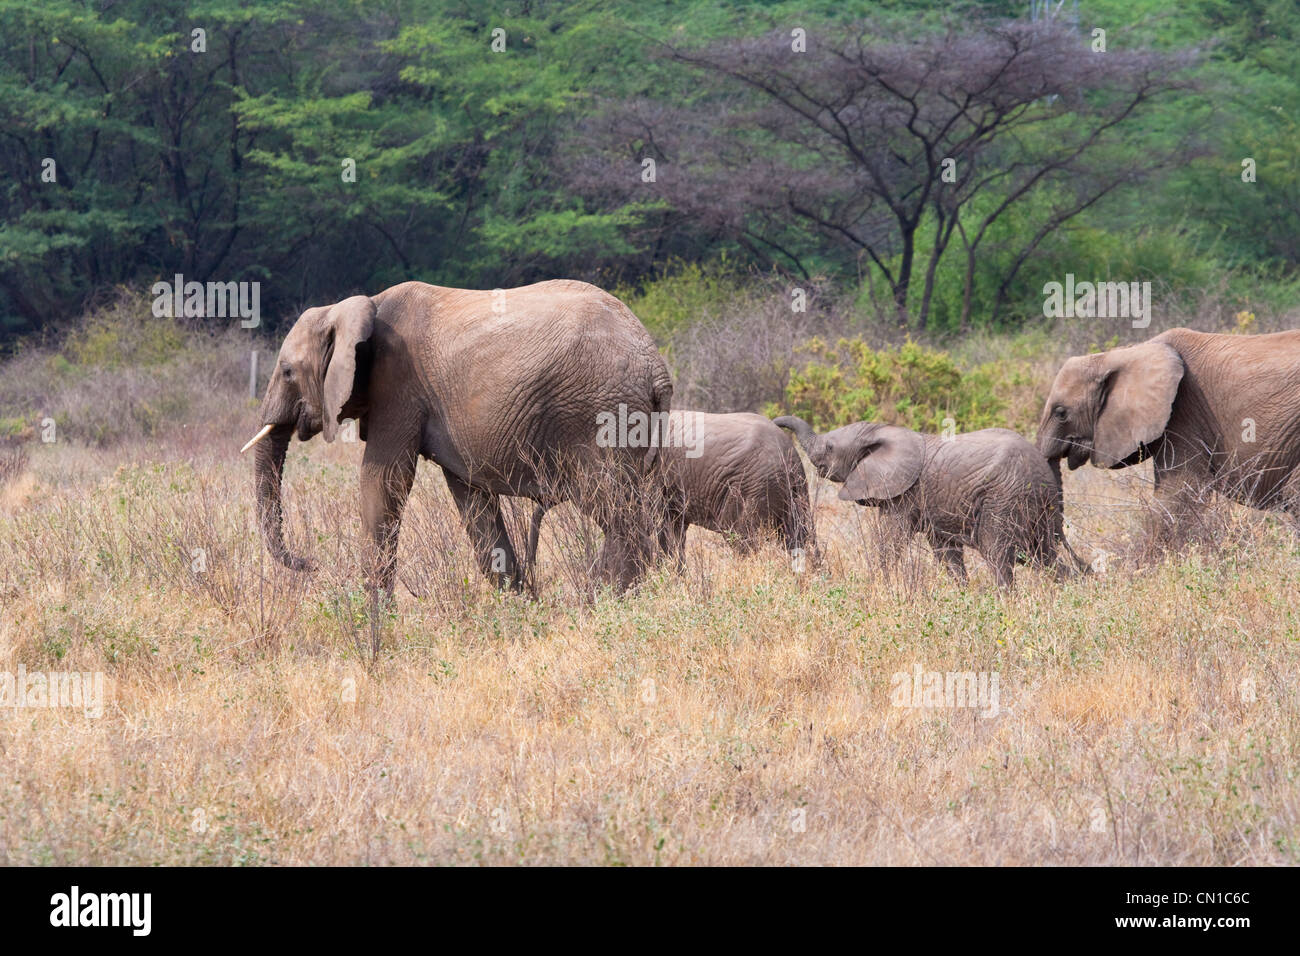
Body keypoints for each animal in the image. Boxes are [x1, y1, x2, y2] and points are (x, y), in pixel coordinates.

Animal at [239, 277, 676, 595]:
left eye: (287, 372)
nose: (309, 562)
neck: (354, 306)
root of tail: (656, 366)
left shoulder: (397, 386)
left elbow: (383, 480)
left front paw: (377, 618)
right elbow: (472, 500)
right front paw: (517, 605)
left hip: (600, 415)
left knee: (617, 513)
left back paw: (603, 598)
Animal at [522, 408, 816, 572]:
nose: (531, 568)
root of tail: (788, 452)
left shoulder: (653, 478)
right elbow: (674, 532)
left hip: (750, 487)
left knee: (744, 540)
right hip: (795, 488)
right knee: (802, 536)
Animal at [774, 416, 1081, 587]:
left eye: (829, 447)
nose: (774, 422)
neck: (881, 431)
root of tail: (1045, 479)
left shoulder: (903, 494)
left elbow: (890, 540)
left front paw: (877, 586)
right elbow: (945, 552)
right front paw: (963, 594)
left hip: (1005, 498)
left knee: (999, 555)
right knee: (1042, 556)